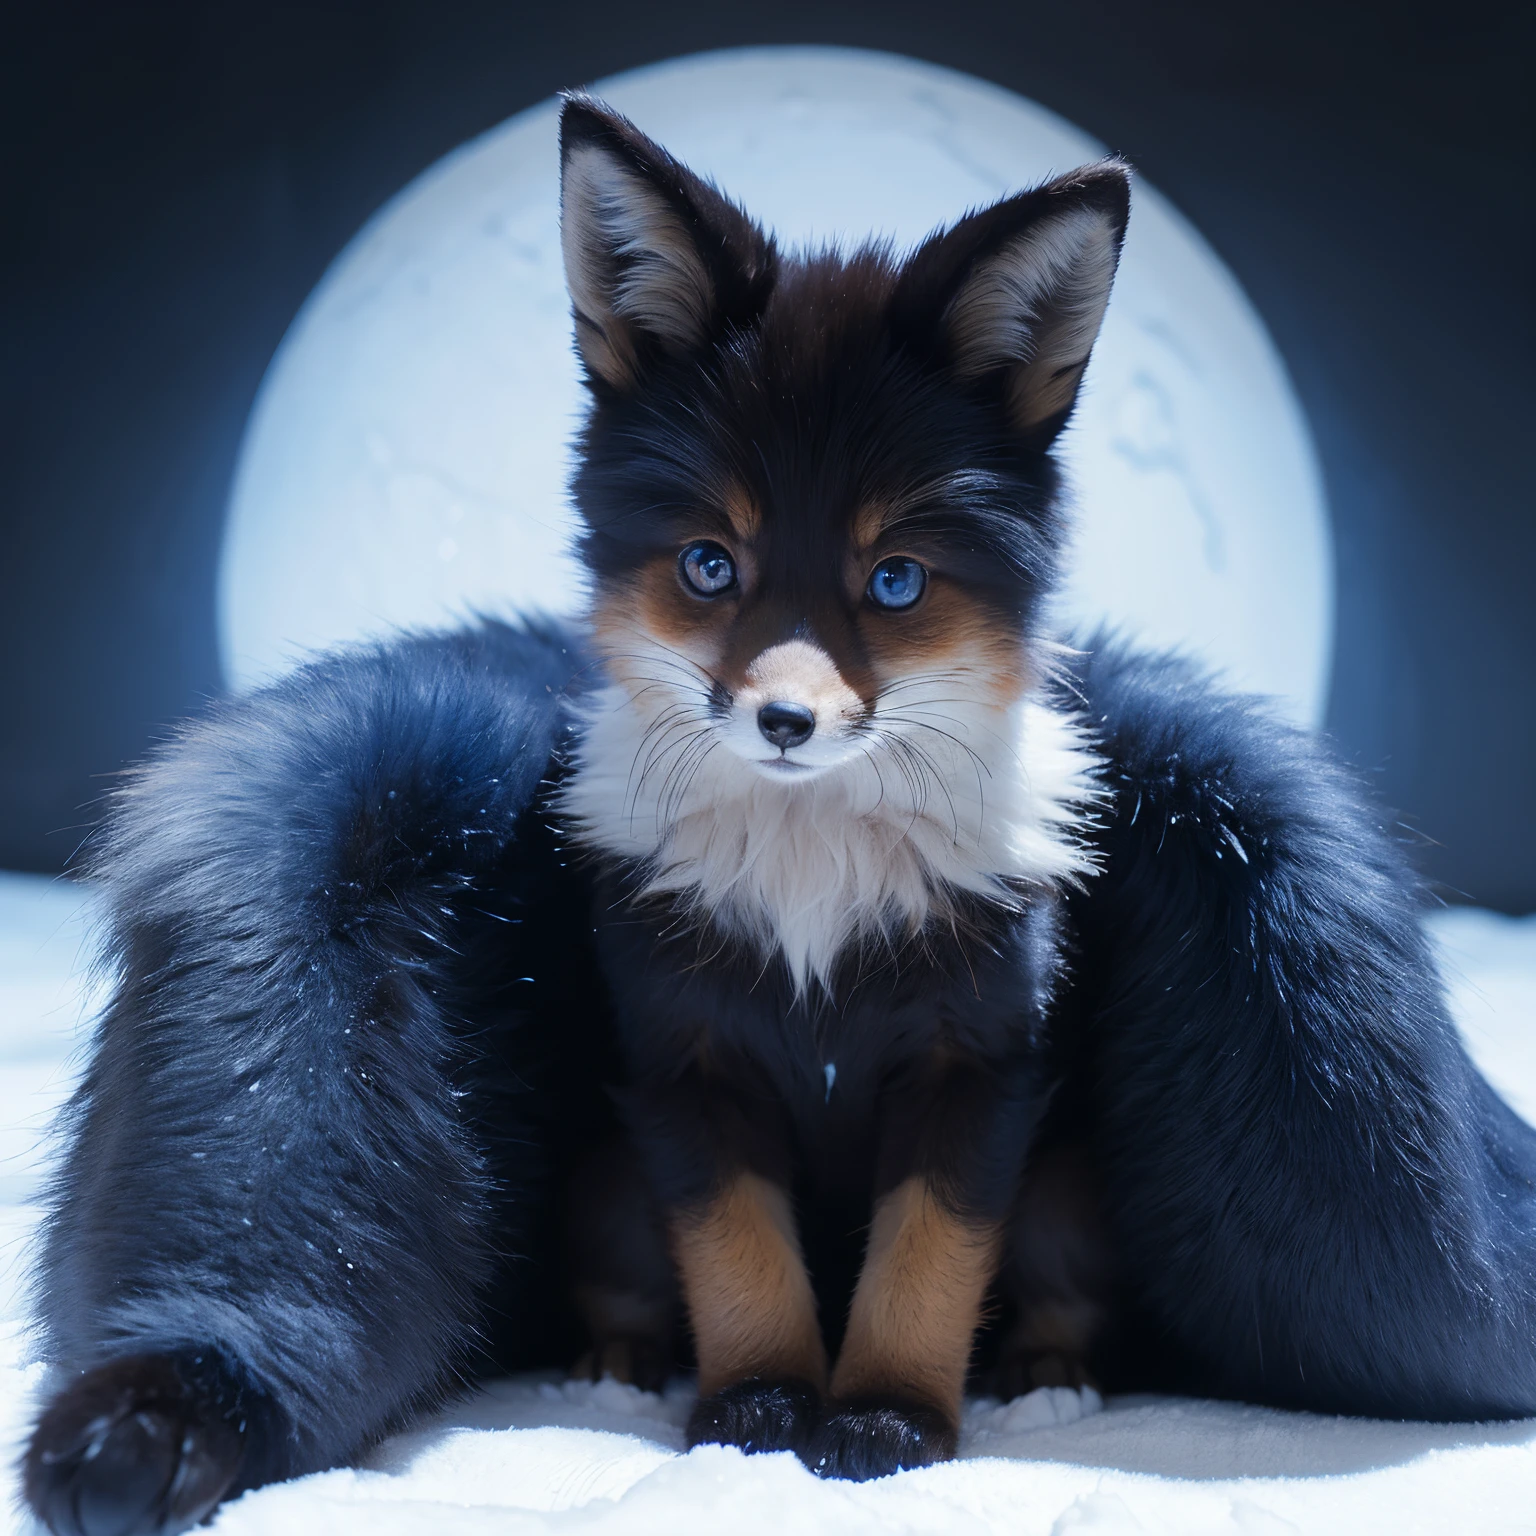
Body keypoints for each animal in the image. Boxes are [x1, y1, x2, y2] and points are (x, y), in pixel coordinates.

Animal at [23, 94, 1536, 1536]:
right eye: (711, 565)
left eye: (896, 581)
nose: (787, 722)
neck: (816, 879)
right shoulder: (685, 1063)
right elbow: (746, 1264)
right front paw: (756, 1413)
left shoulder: (979, 1064)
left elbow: (921, 1268)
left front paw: (884, 1421)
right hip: (608, 1190)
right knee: (631, 1289)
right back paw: (617, 1366)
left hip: (1065, 1195)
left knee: (1055, 1294)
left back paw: (1044, 1380)